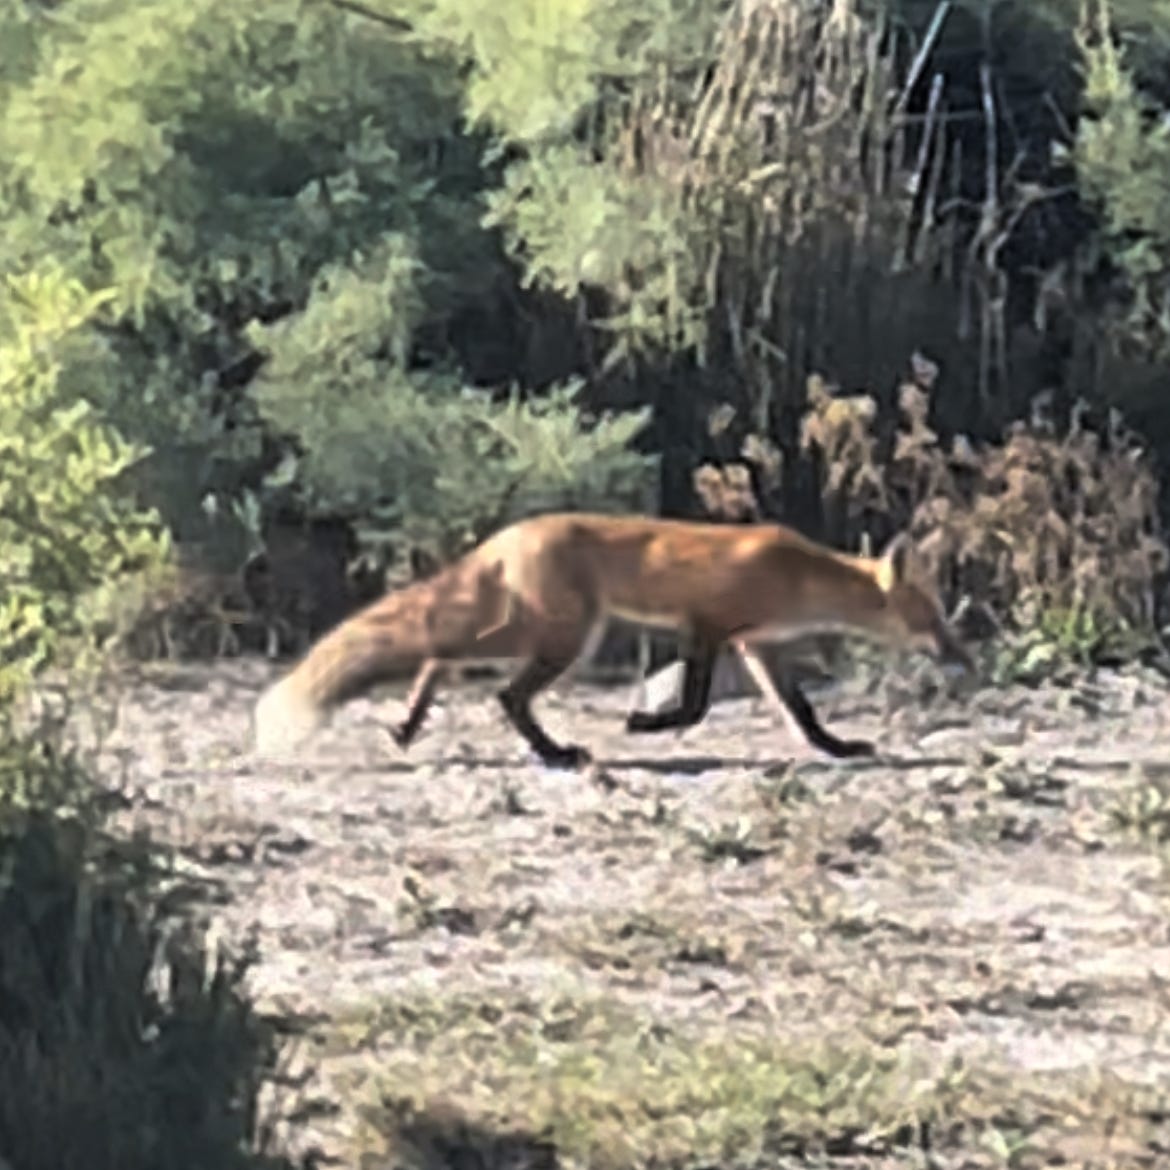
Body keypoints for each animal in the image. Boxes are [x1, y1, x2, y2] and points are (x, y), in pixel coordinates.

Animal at [252, 511, 975, 769]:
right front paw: (647, 725)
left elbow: (802, 713)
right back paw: (550, 752)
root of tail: (510, 532)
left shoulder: (758, 646)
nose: (962, 657)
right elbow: (696, 705)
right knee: (477, 675)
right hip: (565, 636)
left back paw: (414, 726)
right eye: (933, 619)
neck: (796, 576)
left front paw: (838, 748)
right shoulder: (707, 626)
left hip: (548, 634)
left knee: (451, 662)